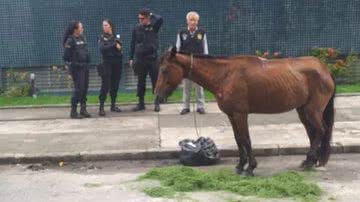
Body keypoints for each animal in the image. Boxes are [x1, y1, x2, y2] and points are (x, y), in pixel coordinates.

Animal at [156, 46, 336, 176]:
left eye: (164, 70)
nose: (158, 95)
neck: (226, 75)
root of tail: (324, 69)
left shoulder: (240, 114)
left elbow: (246, 139)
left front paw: (250, 167)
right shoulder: (232, 115)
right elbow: (238, 139)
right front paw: (240, 165)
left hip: (312, 110)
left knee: (320, 130)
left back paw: (311, 160)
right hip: (303, 110)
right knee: (313, 133)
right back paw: (310, 161)